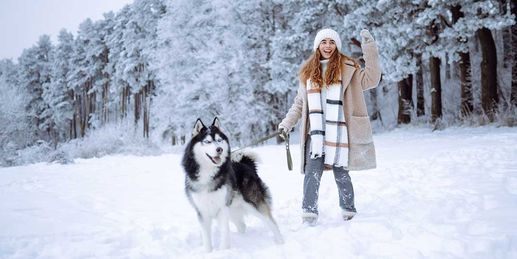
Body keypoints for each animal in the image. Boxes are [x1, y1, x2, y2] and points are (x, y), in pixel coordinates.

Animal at [181, 118, 284, 252]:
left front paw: (223, 251)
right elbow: (206, 238)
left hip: (253, 203)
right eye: (207, 141)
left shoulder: (222, 208)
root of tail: (246, 165)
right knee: (242, 226)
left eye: (219, 140)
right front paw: (209, 252)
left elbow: (224, 233)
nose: (219, 149)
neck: (208, 173)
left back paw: (281, 242)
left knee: (271, 221)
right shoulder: (202, 211)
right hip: (233, 209)